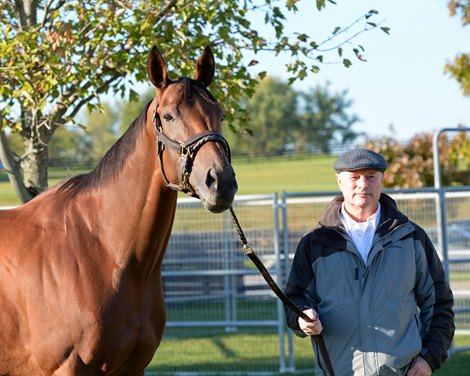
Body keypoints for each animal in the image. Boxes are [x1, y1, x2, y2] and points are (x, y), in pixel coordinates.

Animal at [0, 45, 235, 374]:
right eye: (168, 115)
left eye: (220, 114)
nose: (221, 181)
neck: (104, 251)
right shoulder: (65, 367)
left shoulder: (134, 368)